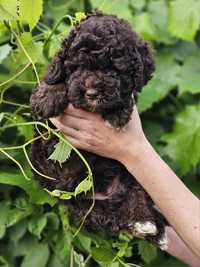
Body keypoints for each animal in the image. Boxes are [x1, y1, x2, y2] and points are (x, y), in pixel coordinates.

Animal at [30, 10, 169, 249]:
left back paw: (147, 223)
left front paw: (118, 111)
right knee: (104, 216)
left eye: (113, 69)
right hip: (78, 201)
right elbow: (55, 81)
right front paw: (48, 96)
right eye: (77, 68)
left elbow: (127, 96)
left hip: (131, 174)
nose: (92, 93)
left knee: (136, 194)